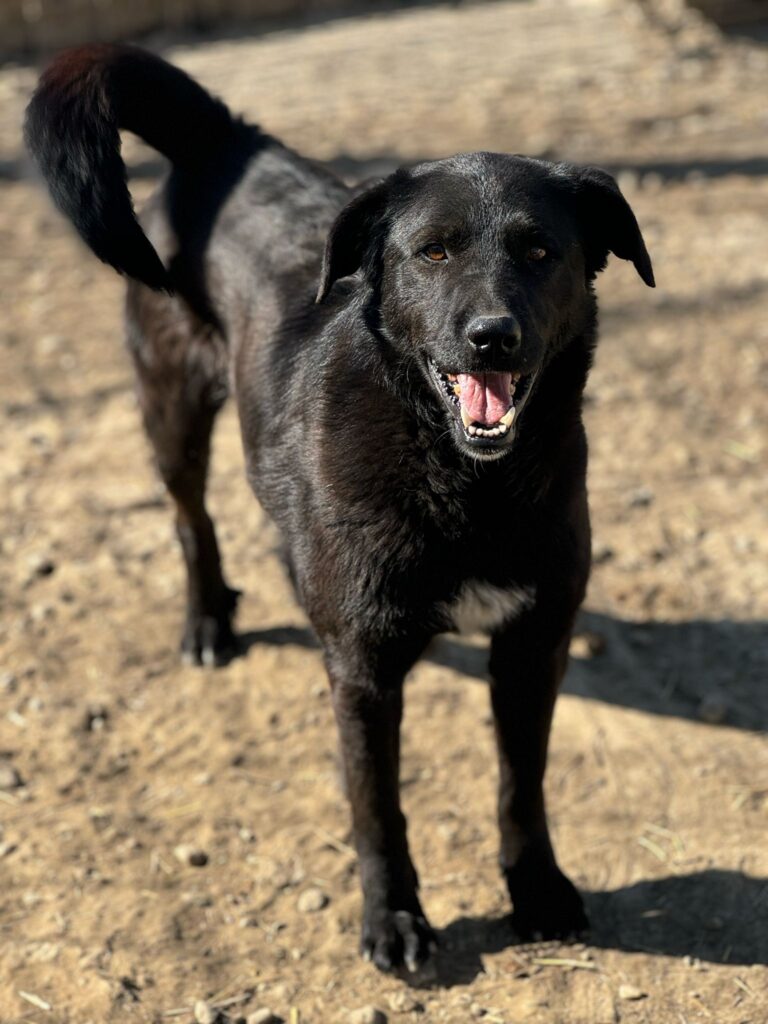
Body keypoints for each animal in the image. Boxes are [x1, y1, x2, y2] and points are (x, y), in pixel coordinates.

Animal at [25, 44, 654, 973]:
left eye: (542, 251)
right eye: (434, 252)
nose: (491, 337)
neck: (464, 482)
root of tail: (228, 140)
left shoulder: (532, 646)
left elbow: (522, 786)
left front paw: (536, 889)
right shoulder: (362, 673)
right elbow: (377, 808)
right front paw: (393, 918)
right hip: (171, 406)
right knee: (191, 521)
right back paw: (208, 619)